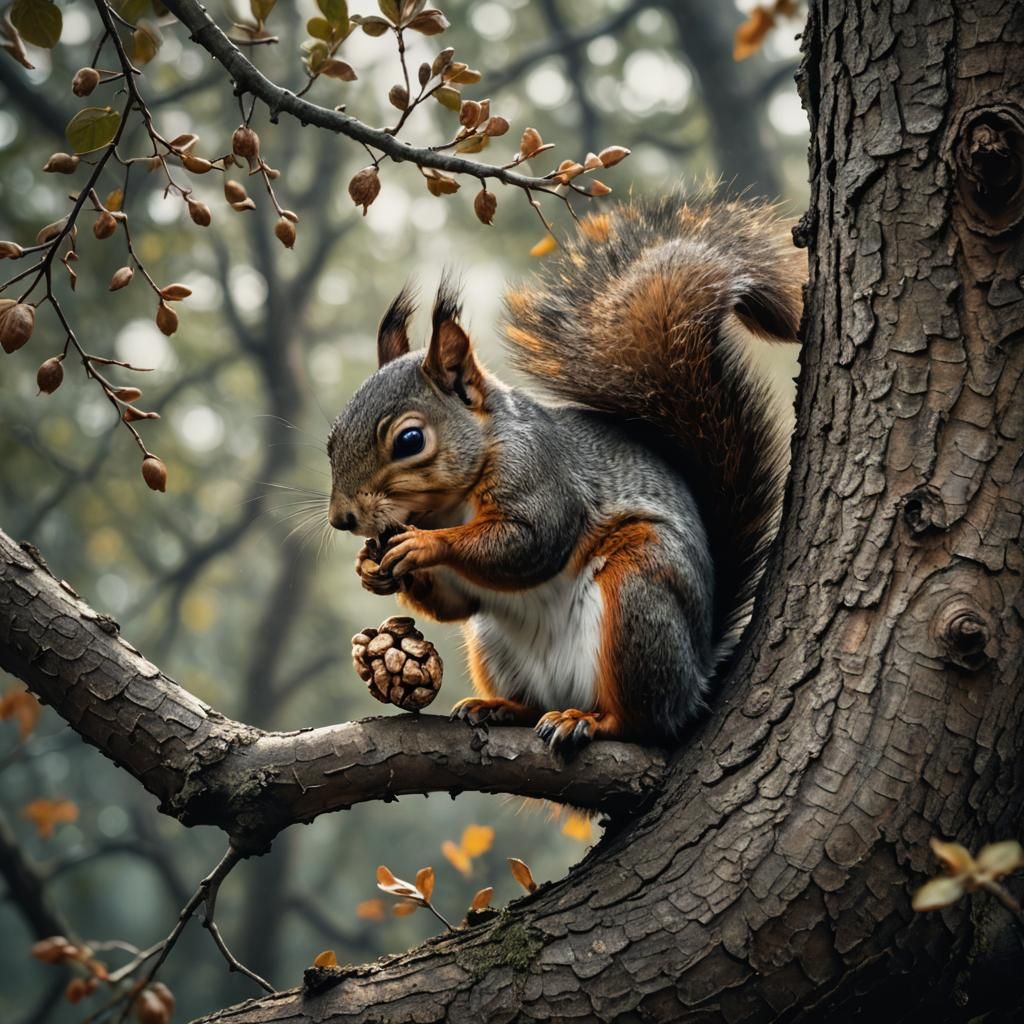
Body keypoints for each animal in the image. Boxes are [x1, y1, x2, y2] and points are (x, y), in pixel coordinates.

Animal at [326, 193, 804, 753]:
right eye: (331, 440)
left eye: (409, 441)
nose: (342, 519)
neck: (450, 503)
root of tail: (695, 681)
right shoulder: (466, 590)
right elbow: (456, 603)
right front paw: (370, 567)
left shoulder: (542, 473)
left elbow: (531, 542)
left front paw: (425, 545)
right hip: (493, 643)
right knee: (531, 695)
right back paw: (501, 707)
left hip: (639, 596)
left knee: (644, 721)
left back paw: (590, 721)